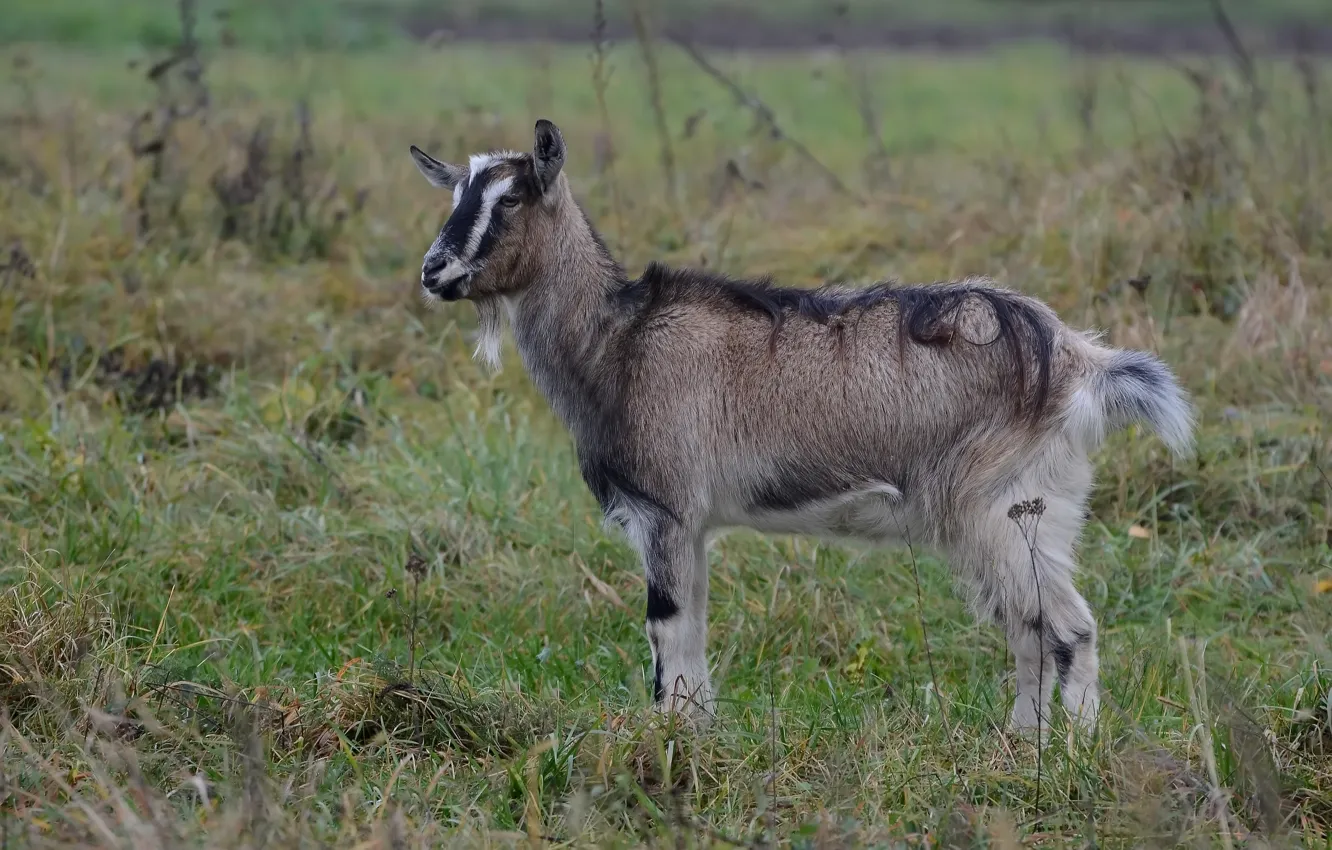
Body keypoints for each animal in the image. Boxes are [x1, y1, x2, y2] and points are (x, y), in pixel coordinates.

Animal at [407, 119, 1193, 735]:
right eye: (454, 195)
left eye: (512, 198)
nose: (434, 272)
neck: (618, 343)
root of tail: (1077, 357)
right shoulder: (692, 525)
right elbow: (692, 628)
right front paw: (697, 732)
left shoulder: (665, 509)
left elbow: (666, 627)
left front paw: (668, 739)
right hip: (1035, 512)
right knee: (1031, 628)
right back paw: (1020, 747)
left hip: (1001, 506)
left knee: (1066, 627)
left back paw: (1070, 754)